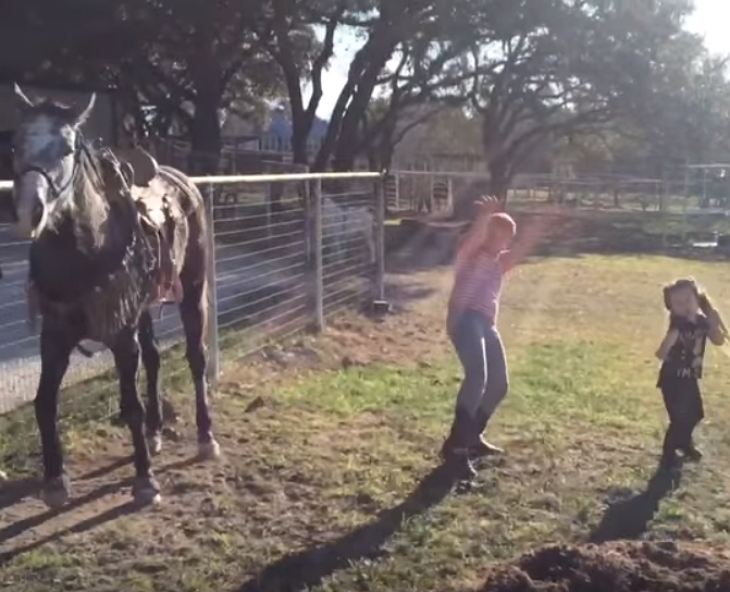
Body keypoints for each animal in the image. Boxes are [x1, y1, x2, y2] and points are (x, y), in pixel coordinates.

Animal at [8, 84, 219, 508]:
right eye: (16, 143)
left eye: (67, 148)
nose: (27, 213)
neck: (82, 252)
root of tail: (182, 182)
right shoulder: (54, 334)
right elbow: (44, 401)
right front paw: (55, 481)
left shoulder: (121, 334)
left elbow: (130, 405)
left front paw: (145, 481)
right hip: (144, 309)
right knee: (154, 359)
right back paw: (155, 432)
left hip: (193, 292)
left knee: (196, 359)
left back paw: (205, 437)